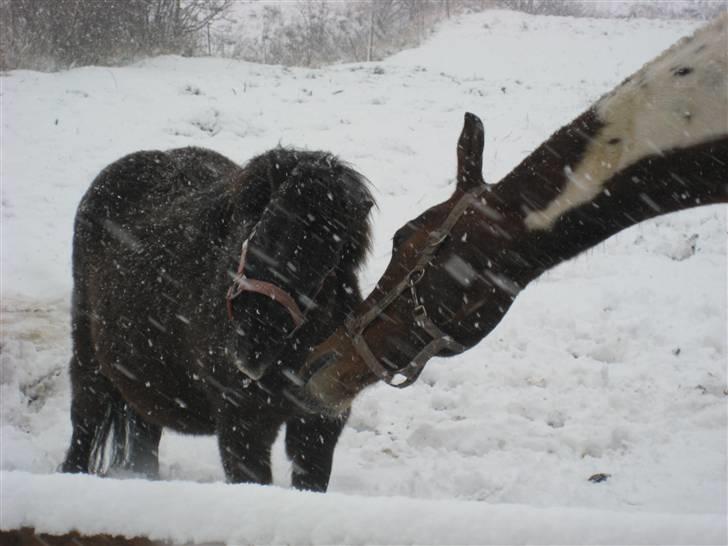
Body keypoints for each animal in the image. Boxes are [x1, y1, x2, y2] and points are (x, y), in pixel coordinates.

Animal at [59, 143, 372, 488]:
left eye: (328, 247)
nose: (252, 348)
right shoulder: (243, 429)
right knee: (85, 422)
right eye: (259, 231)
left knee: (144, 440)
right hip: (89, 357)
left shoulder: (319, 424)